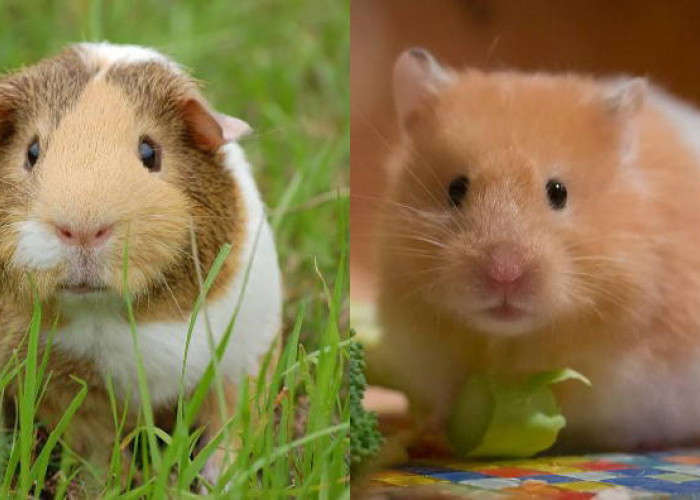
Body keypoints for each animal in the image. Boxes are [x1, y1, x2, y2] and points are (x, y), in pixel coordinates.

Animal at [0, 43, 282, 479]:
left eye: (150, 152)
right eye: (31, 151)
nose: (82, 229)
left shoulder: (245, 358)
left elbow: (229, 428)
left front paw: (220, 481)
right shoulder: (67, 393)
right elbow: (98, 448)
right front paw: (121, 482)